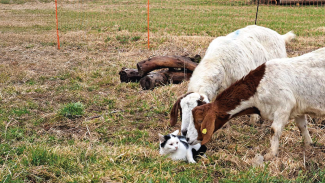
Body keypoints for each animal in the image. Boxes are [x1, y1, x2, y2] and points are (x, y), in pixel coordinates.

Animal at [190, 47, 324, 160]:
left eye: (200, 121)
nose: (189, 140)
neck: (257, 87)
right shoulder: (298, 109)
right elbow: (302, 126)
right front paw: (308, 145)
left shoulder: (284, 106)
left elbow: (274, 130)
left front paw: (270, 155)